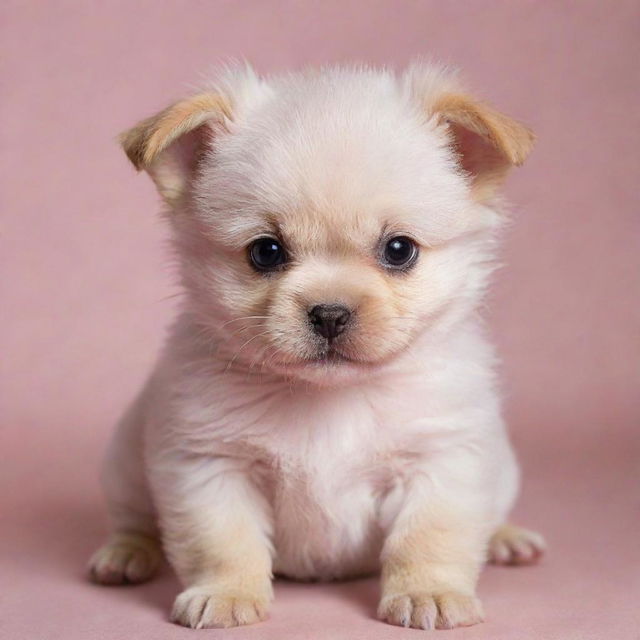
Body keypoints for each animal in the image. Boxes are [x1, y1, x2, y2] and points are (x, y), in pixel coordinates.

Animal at [87, 61, 544, 632]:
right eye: (265, 252)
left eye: (399, 250)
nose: (330, 313)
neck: (330, 399)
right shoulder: (210, 465)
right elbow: (223, 541)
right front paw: (226, 594)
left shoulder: (442, 461)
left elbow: (427, 537)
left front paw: (429, 593)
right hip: (125, 460)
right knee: (135, 520)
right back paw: (125, 554)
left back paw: (506, 539)